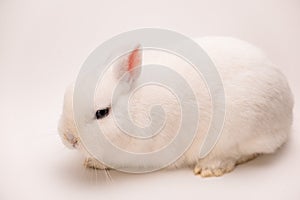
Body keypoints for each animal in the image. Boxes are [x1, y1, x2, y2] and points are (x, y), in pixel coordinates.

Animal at [58, 36, 292, 177]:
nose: (69, 138)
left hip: (239, 132)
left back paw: (209, 168)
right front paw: (90, 161)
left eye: (102, 113)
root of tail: (288, 109)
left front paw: (96, 163)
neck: (134, 109)